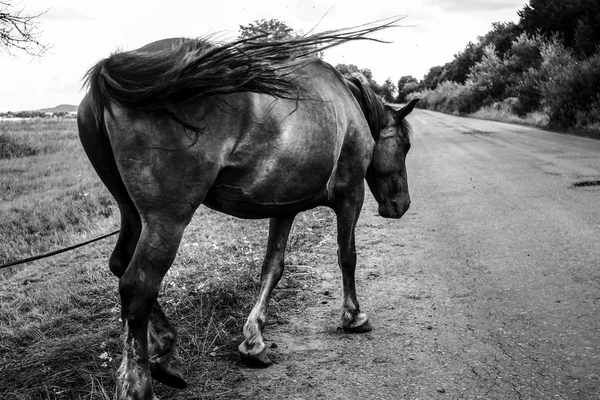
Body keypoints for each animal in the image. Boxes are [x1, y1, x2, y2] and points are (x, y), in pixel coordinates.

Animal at [78, 25, 418, 400]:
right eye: (405, 145)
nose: (401, 205)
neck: (347, 108)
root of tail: (116, 68)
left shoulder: (285, 208)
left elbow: (273, 268)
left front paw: (254, 341)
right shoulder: (350, 196)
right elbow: (347, 256)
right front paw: (353, 316)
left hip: (132, 212)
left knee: (121, 265)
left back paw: (165, 350)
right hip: (167, 220)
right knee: (137, 286)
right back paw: (139, 382)